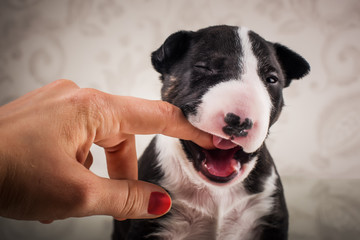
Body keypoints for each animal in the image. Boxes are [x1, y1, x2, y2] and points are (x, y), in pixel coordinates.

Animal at [113, 24, 310, 240]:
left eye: (272, 79)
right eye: (204, 67)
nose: (239, 122)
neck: (217, 192)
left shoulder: (270, 217)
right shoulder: (151, 223)